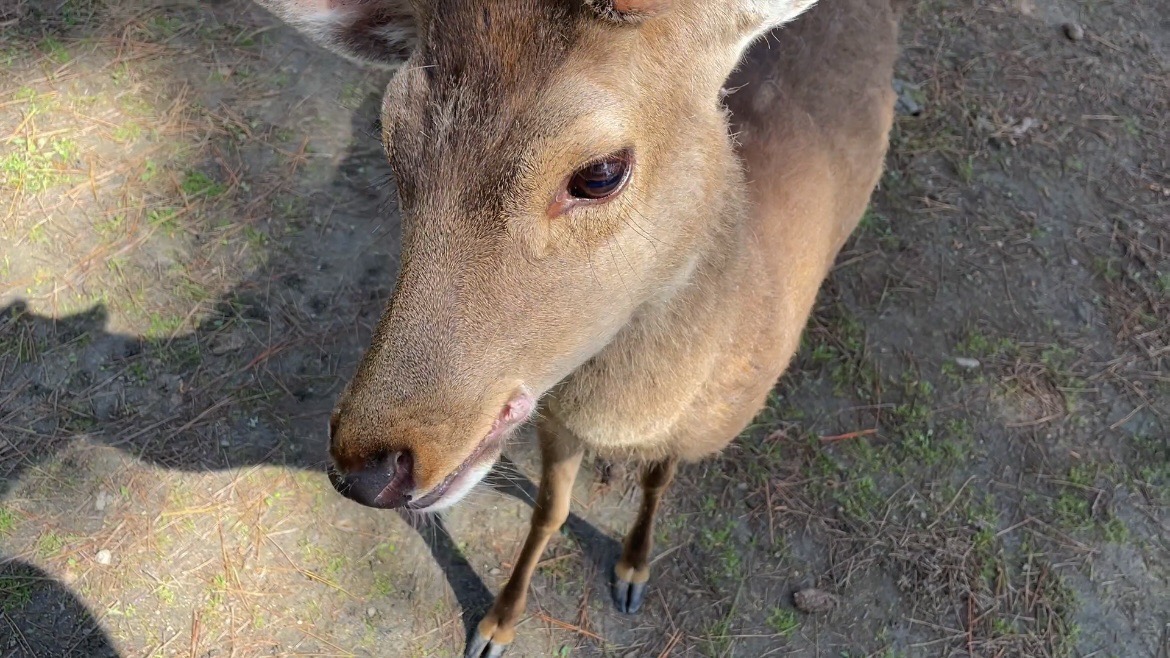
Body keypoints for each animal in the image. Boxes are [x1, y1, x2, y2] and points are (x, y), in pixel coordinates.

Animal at [256, 0, 893, 650]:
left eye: (601, 172)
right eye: (391, 137)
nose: (369, 467)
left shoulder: (688, 436)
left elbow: (657, 484)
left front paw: (632, 572)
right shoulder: (554, 418)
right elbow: (549, 509)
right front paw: (496, 626)